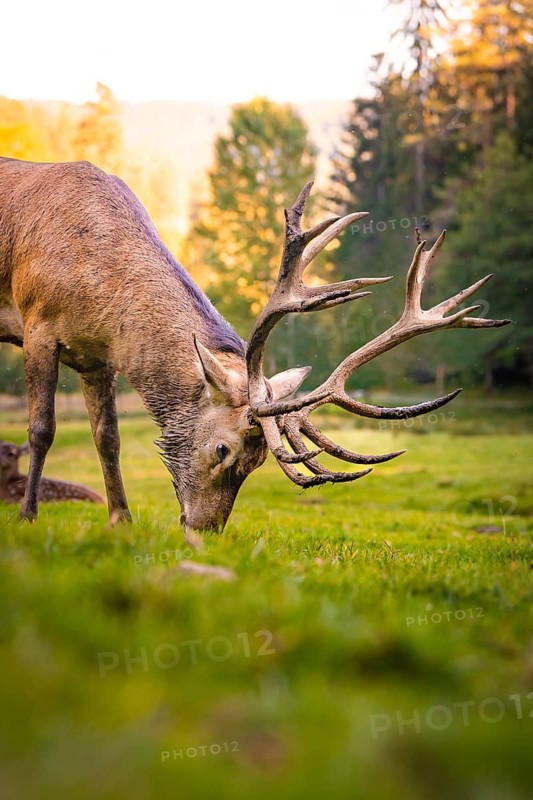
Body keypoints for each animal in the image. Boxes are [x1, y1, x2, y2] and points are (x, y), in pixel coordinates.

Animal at [0, 157, 510, 532]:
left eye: (259, 462)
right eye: (222, 450)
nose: (204, 530)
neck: (98, 285)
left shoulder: (98, 356)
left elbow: (108, 437)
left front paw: (121, 520)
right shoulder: (39, 324)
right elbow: (42, 429)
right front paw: (27, 515)